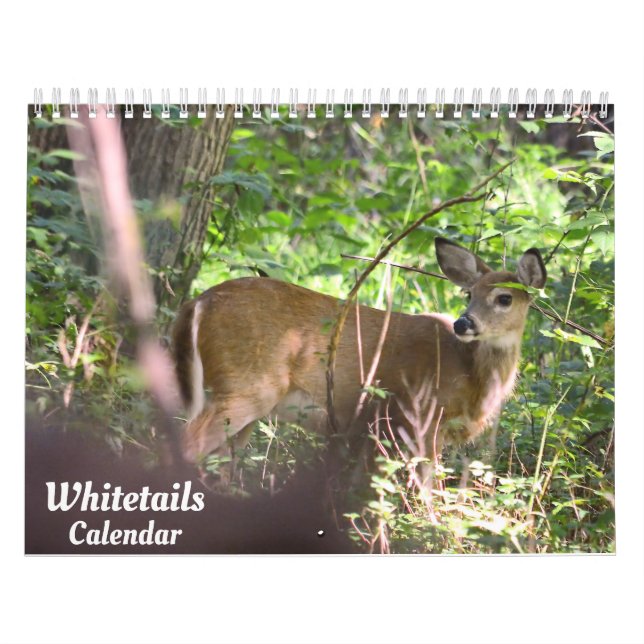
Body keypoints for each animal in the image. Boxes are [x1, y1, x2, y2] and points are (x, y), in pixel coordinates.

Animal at [172, 238, 546, 473]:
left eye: (504, 298)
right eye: (469, 293)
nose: (463, 322)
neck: (471, 375)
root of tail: (196, 304)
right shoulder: (424, 417)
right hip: (248, 386)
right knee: (186, 445)